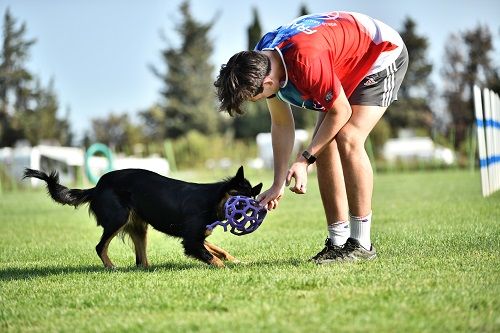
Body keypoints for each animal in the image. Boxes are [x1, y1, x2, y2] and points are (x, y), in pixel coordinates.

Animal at [24, 166, 262, 268]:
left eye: (250, 203)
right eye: (238, 197)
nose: (244, 210)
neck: (213, 200)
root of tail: (97, 187)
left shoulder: (197, 237)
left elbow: (220, 251)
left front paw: (239, 261)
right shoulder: (191, 241)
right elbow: (213, 257)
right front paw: (229, 269)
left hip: (139, 227)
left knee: (141, 261)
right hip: (118, 218)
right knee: (100, 247)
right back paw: (111, 267)